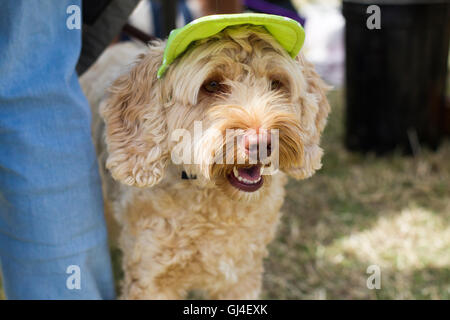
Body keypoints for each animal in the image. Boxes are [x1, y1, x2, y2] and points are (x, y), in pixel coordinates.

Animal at [81, 25, 328, 300]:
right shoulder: (152, 279)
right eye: (212, 84)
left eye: (276, 84)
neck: (214, 205)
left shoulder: (241, 276)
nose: (262, 142)